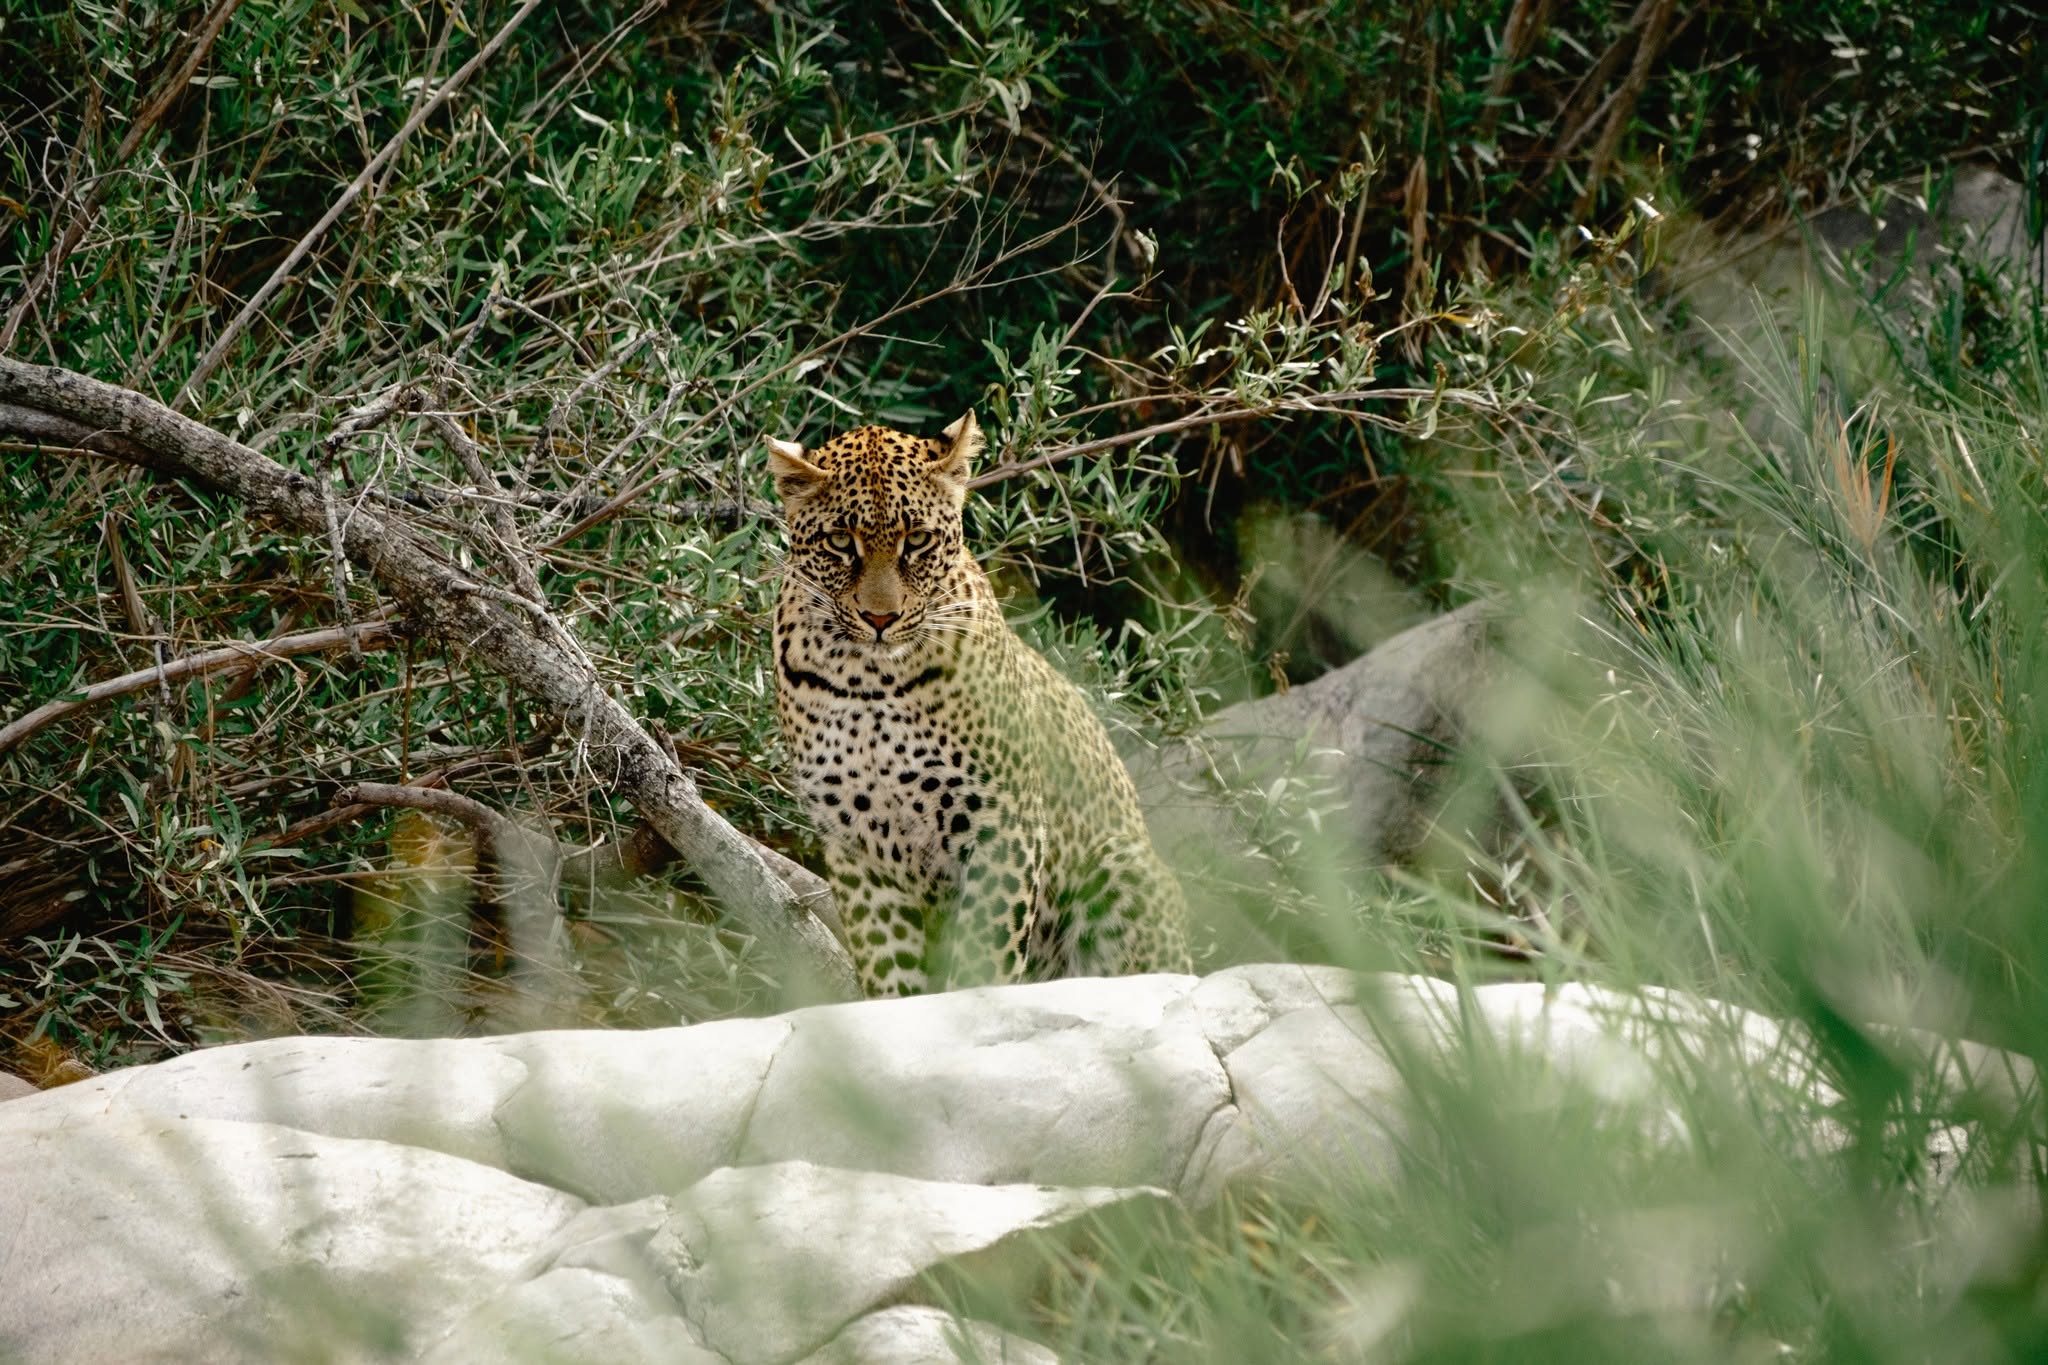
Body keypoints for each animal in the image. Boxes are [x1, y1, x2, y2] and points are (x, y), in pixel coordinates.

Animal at [766, 411, 1192, 996]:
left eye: (918, 540)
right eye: (838, 541)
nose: (880, 619)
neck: (868, 680)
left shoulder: (1003, 825)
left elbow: (982, 959)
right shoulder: (856, 847)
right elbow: (890, 971)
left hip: (1120, 864)